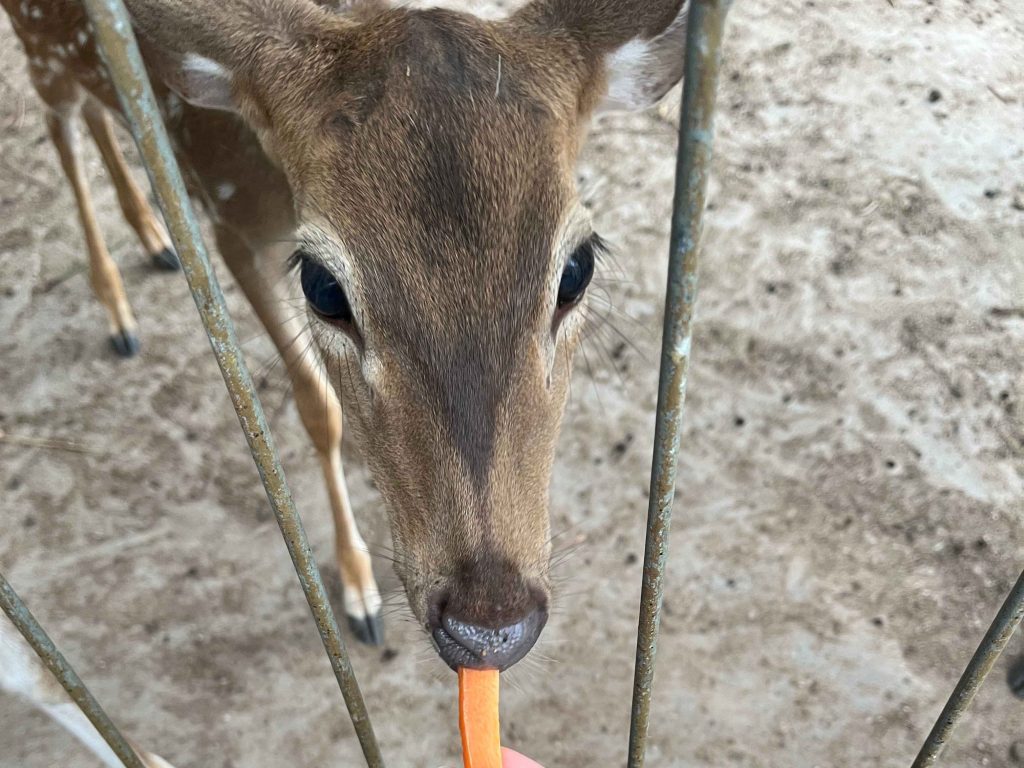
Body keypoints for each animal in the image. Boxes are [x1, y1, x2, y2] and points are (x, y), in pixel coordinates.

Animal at [2, 0, 689, 685]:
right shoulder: (228, 223)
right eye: (323, 286)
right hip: (39, 48)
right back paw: (118, 311)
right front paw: (360, 592)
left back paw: (153, 237)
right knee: (58, 123)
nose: (490, 625)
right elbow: (317, 406)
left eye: (577, 268)